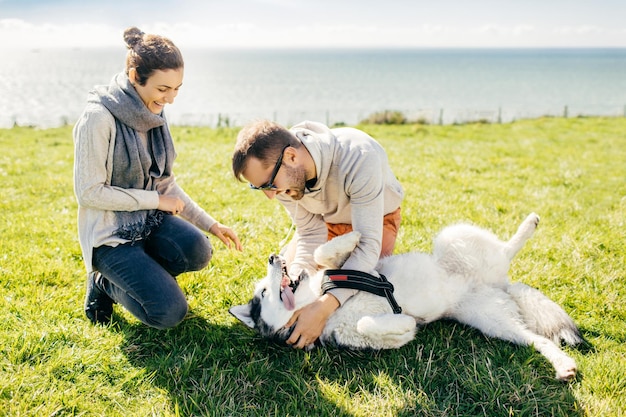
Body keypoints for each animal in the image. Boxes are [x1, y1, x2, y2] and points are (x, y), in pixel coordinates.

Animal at [232, 214, 584, 380]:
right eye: (264, 292)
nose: (273, 258)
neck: (319, 301)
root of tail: (497, 282)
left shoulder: (351, 267)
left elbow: (323, 252)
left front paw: (353, 236)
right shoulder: (359, 336)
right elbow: (369, 324)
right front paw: (405, 322)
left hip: (451, 238)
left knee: (506, 249)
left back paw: (529, 224)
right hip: (494, 323)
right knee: (537, 338)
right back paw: (564, 365)